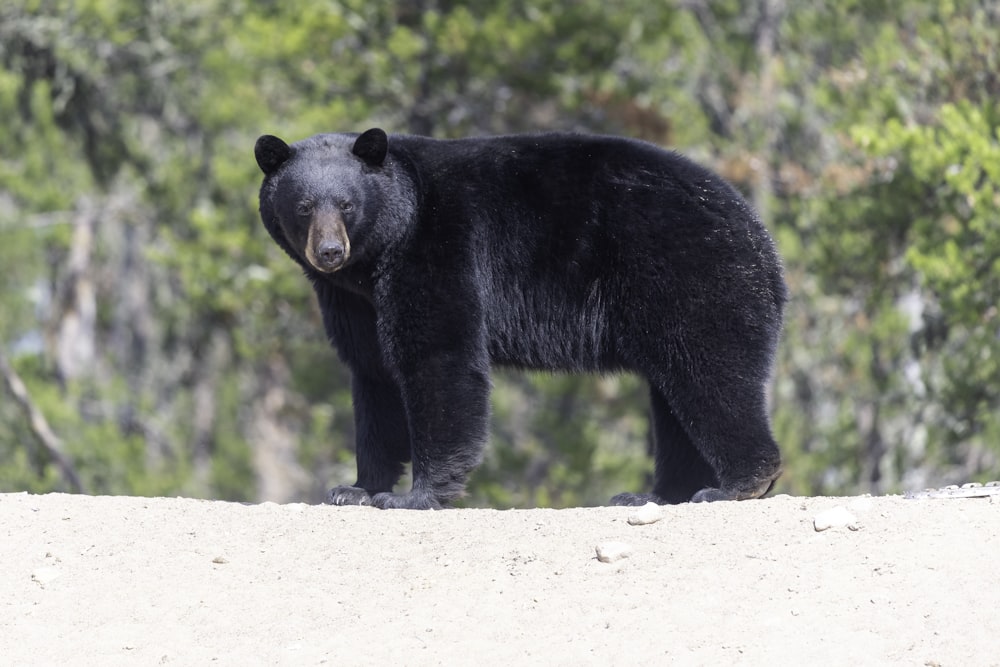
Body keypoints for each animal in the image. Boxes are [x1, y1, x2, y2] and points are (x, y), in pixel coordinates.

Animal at [254, 128, 784, 508]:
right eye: (303, 206)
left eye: (347, 204)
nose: (329, 251)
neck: (380, 252)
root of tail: (762, 241)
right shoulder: (352, 301)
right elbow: (373, 375)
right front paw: (355, 488)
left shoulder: (439, 249)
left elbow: (439, 357)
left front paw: (413, 496)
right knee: (674, 400)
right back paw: (653, 494)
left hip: (689, 276)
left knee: (710, 374)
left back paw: (736, 484)